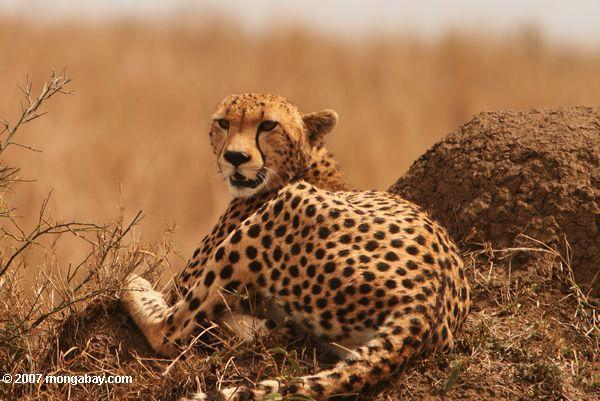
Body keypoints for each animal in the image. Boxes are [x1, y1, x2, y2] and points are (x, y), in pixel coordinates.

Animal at [120, 92, 468, 398]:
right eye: (223, 123)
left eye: (268, 125)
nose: (235, 158)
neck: (302, 164)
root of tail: (424, 308)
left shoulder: (187, 281)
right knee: (282, 331)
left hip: (285, 209)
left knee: (169, 332)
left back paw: (137, 286)